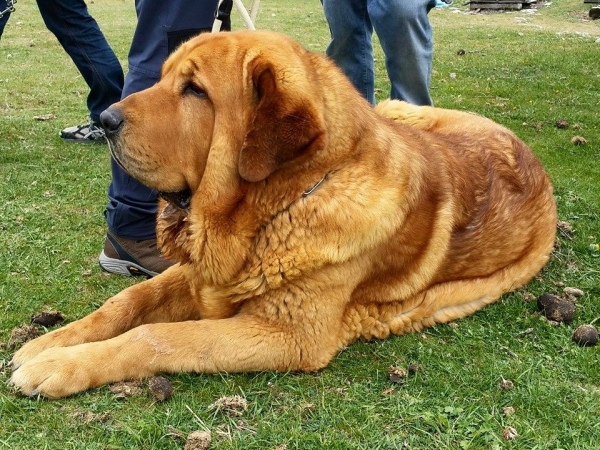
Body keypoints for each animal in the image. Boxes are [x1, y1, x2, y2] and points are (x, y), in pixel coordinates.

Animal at [9, 30, 556, 398]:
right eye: (163, 79)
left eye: (195, 90)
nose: (105, 119)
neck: (277, 208)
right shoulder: (202, 274)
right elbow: (124, 304)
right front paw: (49, 343)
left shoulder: (285, 335)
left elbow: (155, 337)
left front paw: (59, 366)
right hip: (399, 110)